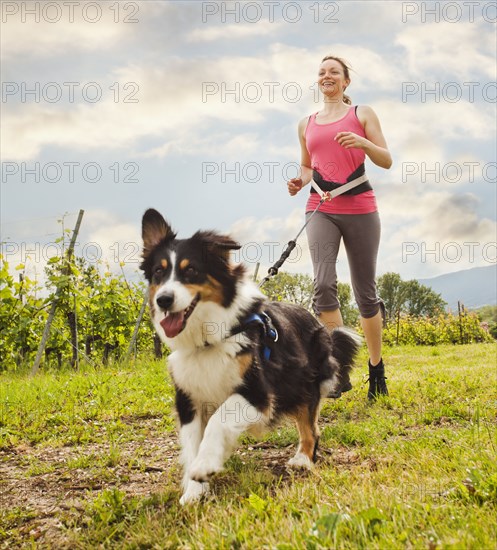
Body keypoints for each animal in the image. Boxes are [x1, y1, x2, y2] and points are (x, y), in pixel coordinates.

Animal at [140, 209, 360, 506]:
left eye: (191, 270)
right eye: (158, 272)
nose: (163, 300)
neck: (209, 339)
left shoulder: (258, 392)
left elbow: (219, 420)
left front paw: (204, 466)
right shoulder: (188, 398)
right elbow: (192, 443)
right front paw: (194, 490)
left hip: (303, 383)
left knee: (310, 427)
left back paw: (303, 459)